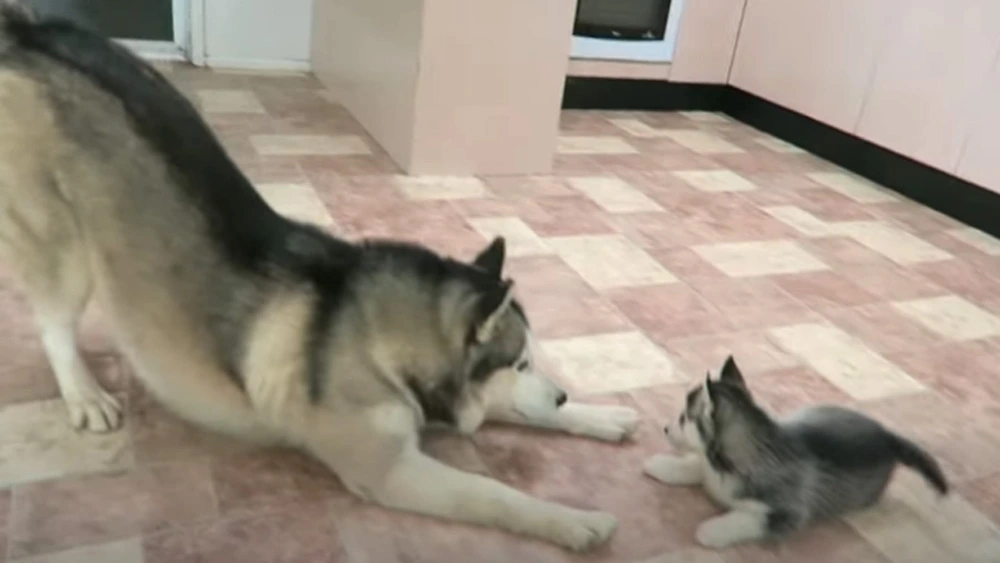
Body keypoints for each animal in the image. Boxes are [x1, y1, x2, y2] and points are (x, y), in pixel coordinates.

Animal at [0, 3, 640, 552]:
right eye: (521, 363)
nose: (562, 394)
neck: (379, 345)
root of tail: (27, 32)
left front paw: (600, 415)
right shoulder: (389, 470)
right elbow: (491, 492)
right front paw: (572, 520)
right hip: (62, 245)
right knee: (53, 323)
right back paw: (84, 394)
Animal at [644, 356, 948, 552]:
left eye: (684, 418)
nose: (665, 428)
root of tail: (888, 436)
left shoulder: (787, 513)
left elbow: (751, 519)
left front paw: (713, 529)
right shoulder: (708, 468)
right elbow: (695, 467)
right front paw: (662, 465)